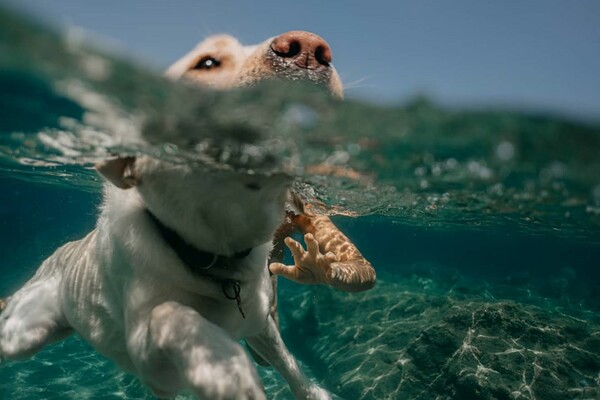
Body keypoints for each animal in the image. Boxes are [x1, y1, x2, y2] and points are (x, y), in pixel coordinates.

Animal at [1, 32, 376, 400]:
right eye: (206, 63)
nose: (311, 49)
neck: (215, 261)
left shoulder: (259, 326)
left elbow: (290, 365)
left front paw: (314, 392)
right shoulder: (153, 368)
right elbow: (170, 314)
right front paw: (224, 367)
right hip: (25, 333)